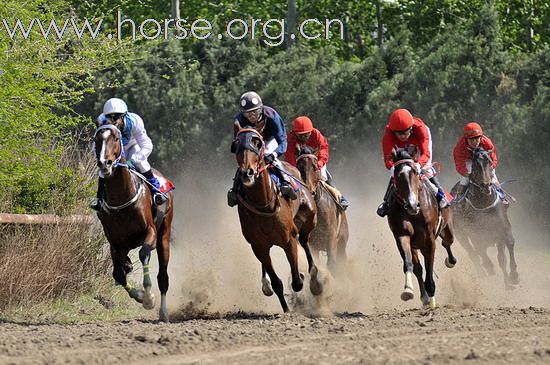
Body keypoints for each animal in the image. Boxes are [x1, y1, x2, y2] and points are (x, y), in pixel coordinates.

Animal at [94, 124, 174, 322]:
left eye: (115, 138)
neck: (121, 197)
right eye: (96, 140)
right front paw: (139, 296)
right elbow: (118, 274)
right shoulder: (115, 244)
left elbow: (144, 253)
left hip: (163, 236)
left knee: (163, 277)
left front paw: (148, 298)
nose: (105, 163)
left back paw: (164, 313)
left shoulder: (150, 232)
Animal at [232, 121, 326, 310]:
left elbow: (297, 281)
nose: (247, 173)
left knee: (304, 239)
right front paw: (287, 309)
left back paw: (314, 280)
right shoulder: (258, 246)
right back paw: (265, 283)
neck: (264, 204)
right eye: (236, 144)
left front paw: (305, 279)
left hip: (310, 218)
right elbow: (277, 283)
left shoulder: (288, 239)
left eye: (257, 143)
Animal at [298, 144, 350, 272]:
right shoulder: (312, 241)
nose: (308, 190)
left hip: (342, 241)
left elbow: (332, 264)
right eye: (298, 166)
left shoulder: (331, 236)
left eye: (315, 167)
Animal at [388, 148, 462, 308]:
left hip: (447, 229)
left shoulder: (429, 240)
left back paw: (450, 261)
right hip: (416, 245)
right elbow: (409, 263)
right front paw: (408, 289)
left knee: (447, 242)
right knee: (418, 268)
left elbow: (429, 268)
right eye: (397, 175)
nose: (411, 205)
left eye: (416, 172)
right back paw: (424, 297)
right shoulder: (402, 235)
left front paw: (432, 298)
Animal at [450, 147, 520, 288]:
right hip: (461, 234)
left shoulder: (503, 228)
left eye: (489, 162)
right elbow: (480, 252)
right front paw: (490, 268)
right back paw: (483, 272)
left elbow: (507, 248)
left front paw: (513, 277)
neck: (484, 203)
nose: (486, 185)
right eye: (475, 165)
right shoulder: (476, 235)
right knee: (473, 254)